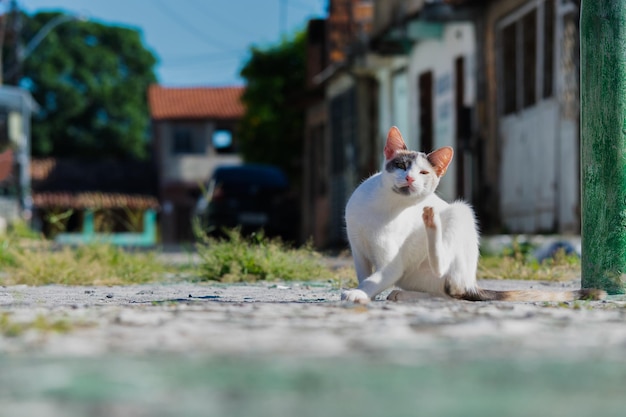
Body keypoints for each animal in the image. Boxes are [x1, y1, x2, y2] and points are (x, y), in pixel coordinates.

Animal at [342, 125, 604, 304]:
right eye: (401, 165)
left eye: (424, 172)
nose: (410, 178)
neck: (385, 206)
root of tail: (472, 283)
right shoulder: (358, 249)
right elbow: (365, 274)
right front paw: (362, 290)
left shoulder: (392, 263)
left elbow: (377, 277)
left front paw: (359, 293)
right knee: (445, 295)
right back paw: (403, 294)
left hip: (461, 213)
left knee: (452, 285)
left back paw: (432, 223)